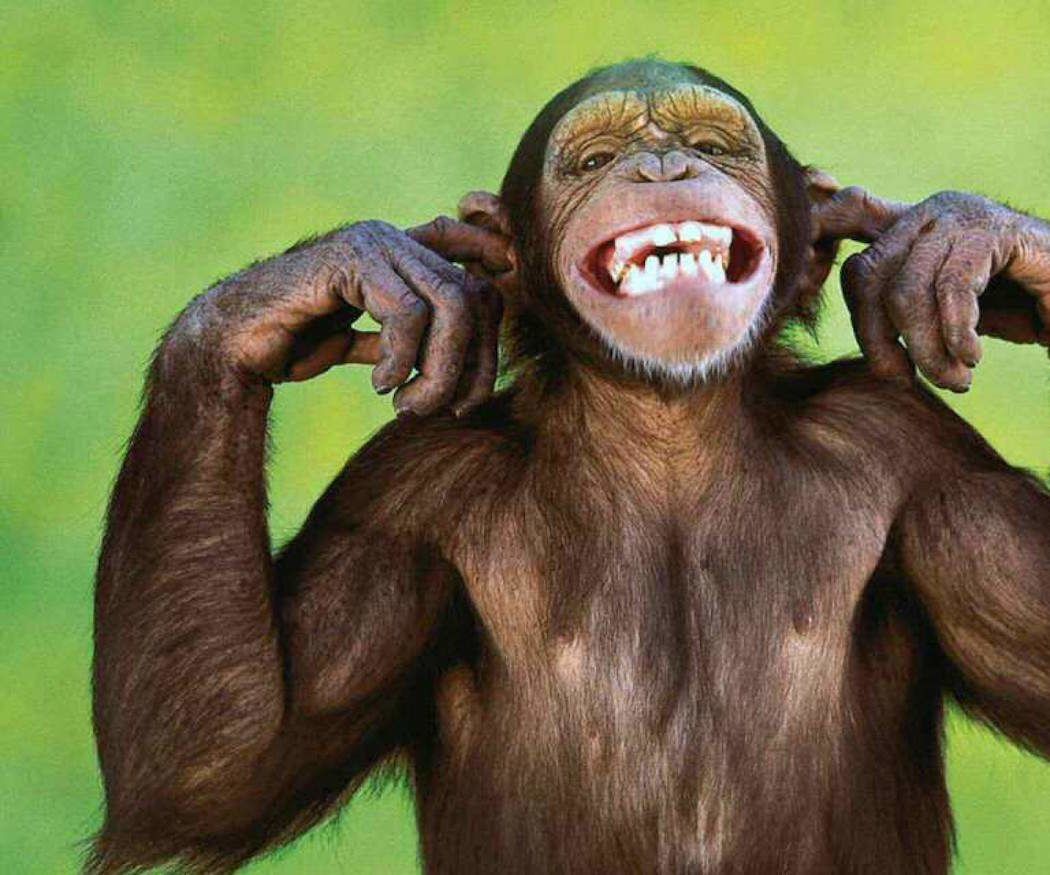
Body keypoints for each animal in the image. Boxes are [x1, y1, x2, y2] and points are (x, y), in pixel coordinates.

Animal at [90, 58, 1050, 874]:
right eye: (592, 159)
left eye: (713, 147)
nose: (661, 167)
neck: (667, 433)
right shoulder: (404, 497)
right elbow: (220, 759)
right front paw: (317, 281)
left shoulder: (908, 449)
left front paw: (968, 240)